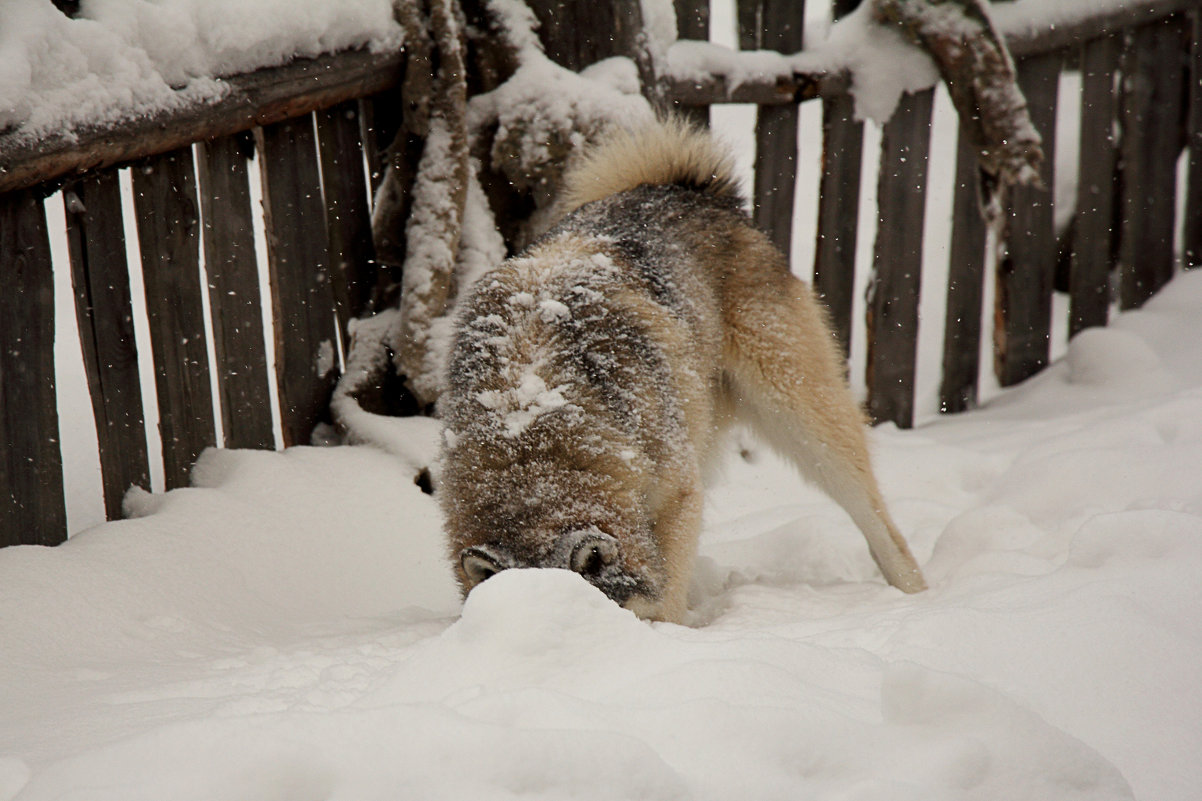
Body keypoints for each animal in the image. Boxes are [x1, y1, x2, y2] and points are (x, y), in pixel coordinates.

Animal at [437, 115, 923, 620]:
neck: (531, 431)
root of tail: (681, 186)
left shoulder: (679, 494)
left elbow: (666, 594)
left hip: (804, 421)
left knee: (878, 522)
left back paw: (917, 597)